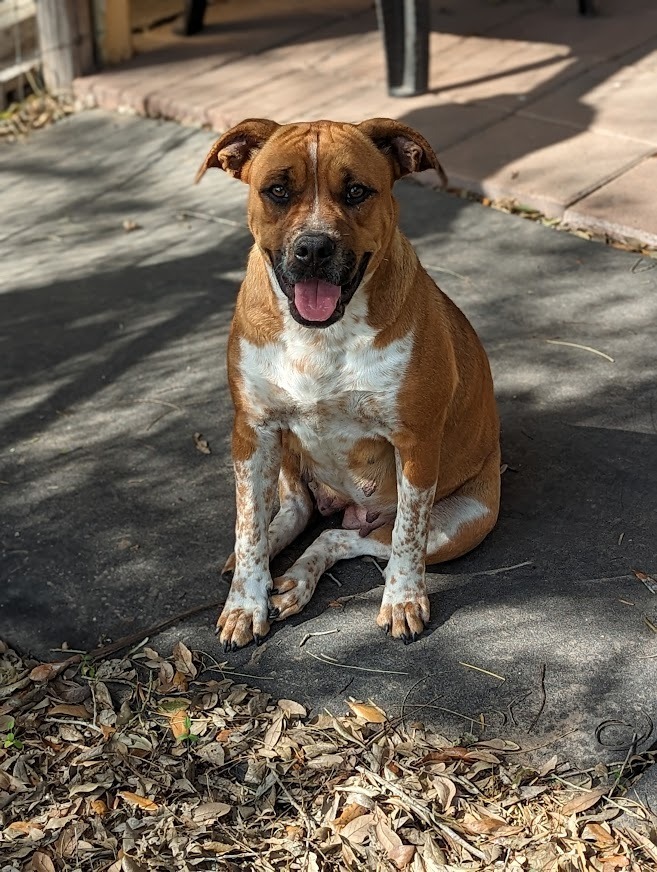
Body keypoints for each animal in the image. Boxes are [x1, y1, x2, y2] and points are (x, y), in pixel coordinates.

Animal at [197, 117, 500, 648]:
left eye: (357, 191)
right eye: (277, 190)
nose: (314, 247)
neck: (319, 335)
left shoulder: (416, 443)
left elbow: (407, 536)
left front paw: (403, 600)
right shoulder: (252, 430)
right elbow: (249, 524)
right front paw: (244, 602)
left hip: (463, 525)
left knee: (343, 536)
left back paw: (300, 579)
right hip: (283, 452)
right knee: (296, 511)